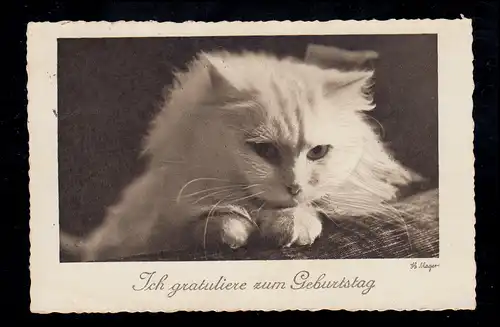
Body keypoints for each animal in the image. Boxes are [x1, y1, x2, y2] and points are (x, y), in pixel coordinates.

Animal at [59, 50, 418, 262]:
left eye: (317, 152)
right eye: (265, 151)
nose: (294, 186)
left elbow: (308, 208)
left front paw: (292, 225)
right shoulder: (153, 228)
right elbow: (204, 221)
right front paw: (233, 232)